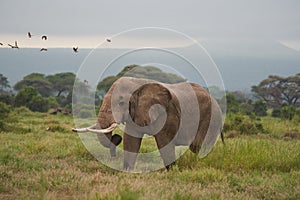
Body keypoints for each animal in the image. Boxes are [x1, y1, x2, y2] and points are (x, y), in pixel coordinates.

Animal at [72, 76, 223, 170]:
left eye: (121, 102)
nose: (116, 137)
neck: (138, 83)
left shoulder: (167, 113)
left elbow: (164, 141)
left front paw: (171, 170)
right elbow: (131, 141)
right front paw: (127, 171)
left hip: (212, 118)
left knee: (199, 146)